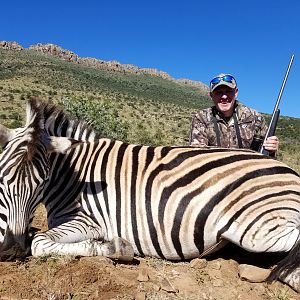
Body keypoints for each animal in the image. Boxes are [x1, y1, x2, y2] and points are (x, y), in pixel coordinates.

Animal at [0, 98, 300, 290]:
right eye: (2, 178)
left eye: (42, 182)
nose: (12, 250)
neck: (74, 175)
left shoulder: (89, 221)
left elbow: (40, 242)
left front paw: (114, 248)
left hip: (257, 228)